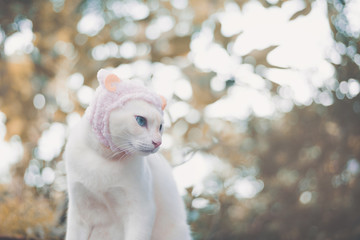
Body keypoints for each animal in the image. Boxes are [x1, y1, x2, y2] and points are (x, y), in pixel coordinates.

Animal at [64, 68, 191, 239]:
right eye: (141, 121)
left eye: (160, 127)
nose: (158, 142)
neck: (103, 158)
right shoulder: (79, 213)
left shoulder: (140, 211)